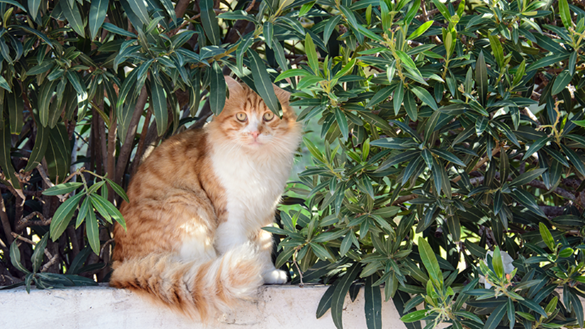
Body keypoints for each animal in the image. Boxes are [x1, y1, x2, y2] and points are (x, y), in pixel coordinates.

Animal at [109, 75, 302, 320]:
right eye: (241, 117)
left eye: (268, 116)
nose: (255, 133)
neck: (257, 161)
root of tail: (119, 267)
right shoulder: (230, 215)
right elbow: (242, 248)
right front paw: (254, 275)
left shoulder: (265, 213)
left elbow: (264, 247)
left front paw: (267, 273)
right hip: (188, 205)